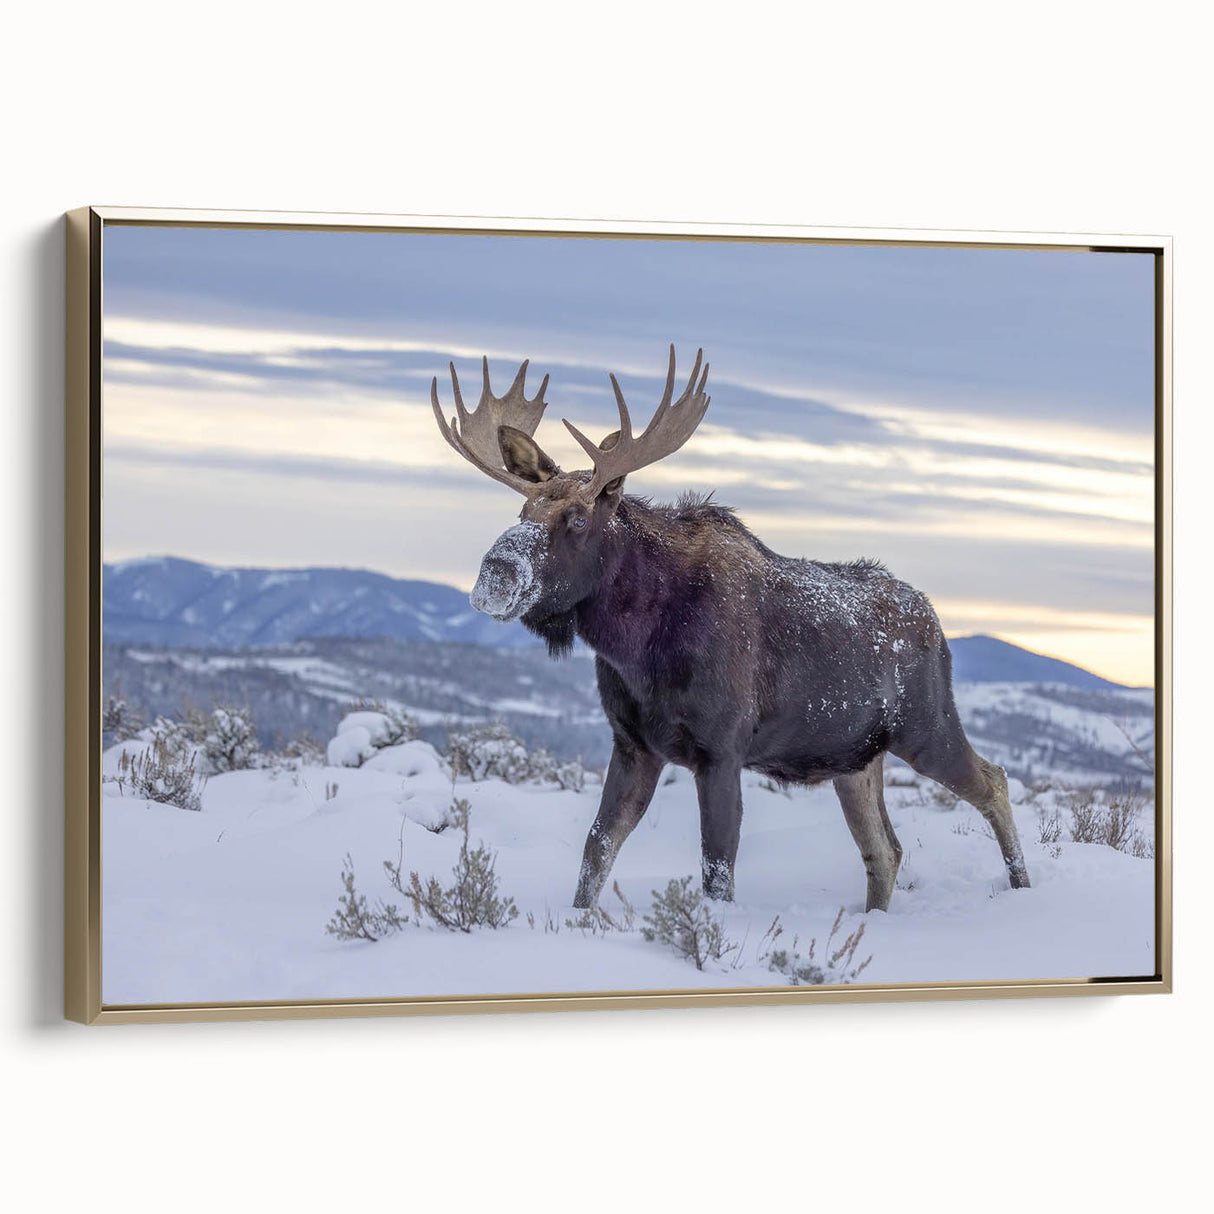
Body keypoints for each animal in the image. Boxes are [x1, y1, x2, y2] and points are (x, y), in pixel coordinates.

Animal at [429, 346, 1030, 912]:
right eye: (522, 512)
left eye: (576, 518)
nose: (494, 574)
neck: (637, 644)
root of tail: (936, 623)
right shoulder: (633, 745)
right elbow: (596, 851)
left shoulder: (720, 751)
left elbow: (717, 871)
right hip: (855, 759)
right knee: (886, 849)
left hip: (927, 727)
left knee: (994, 782)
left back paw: (1023, 888)